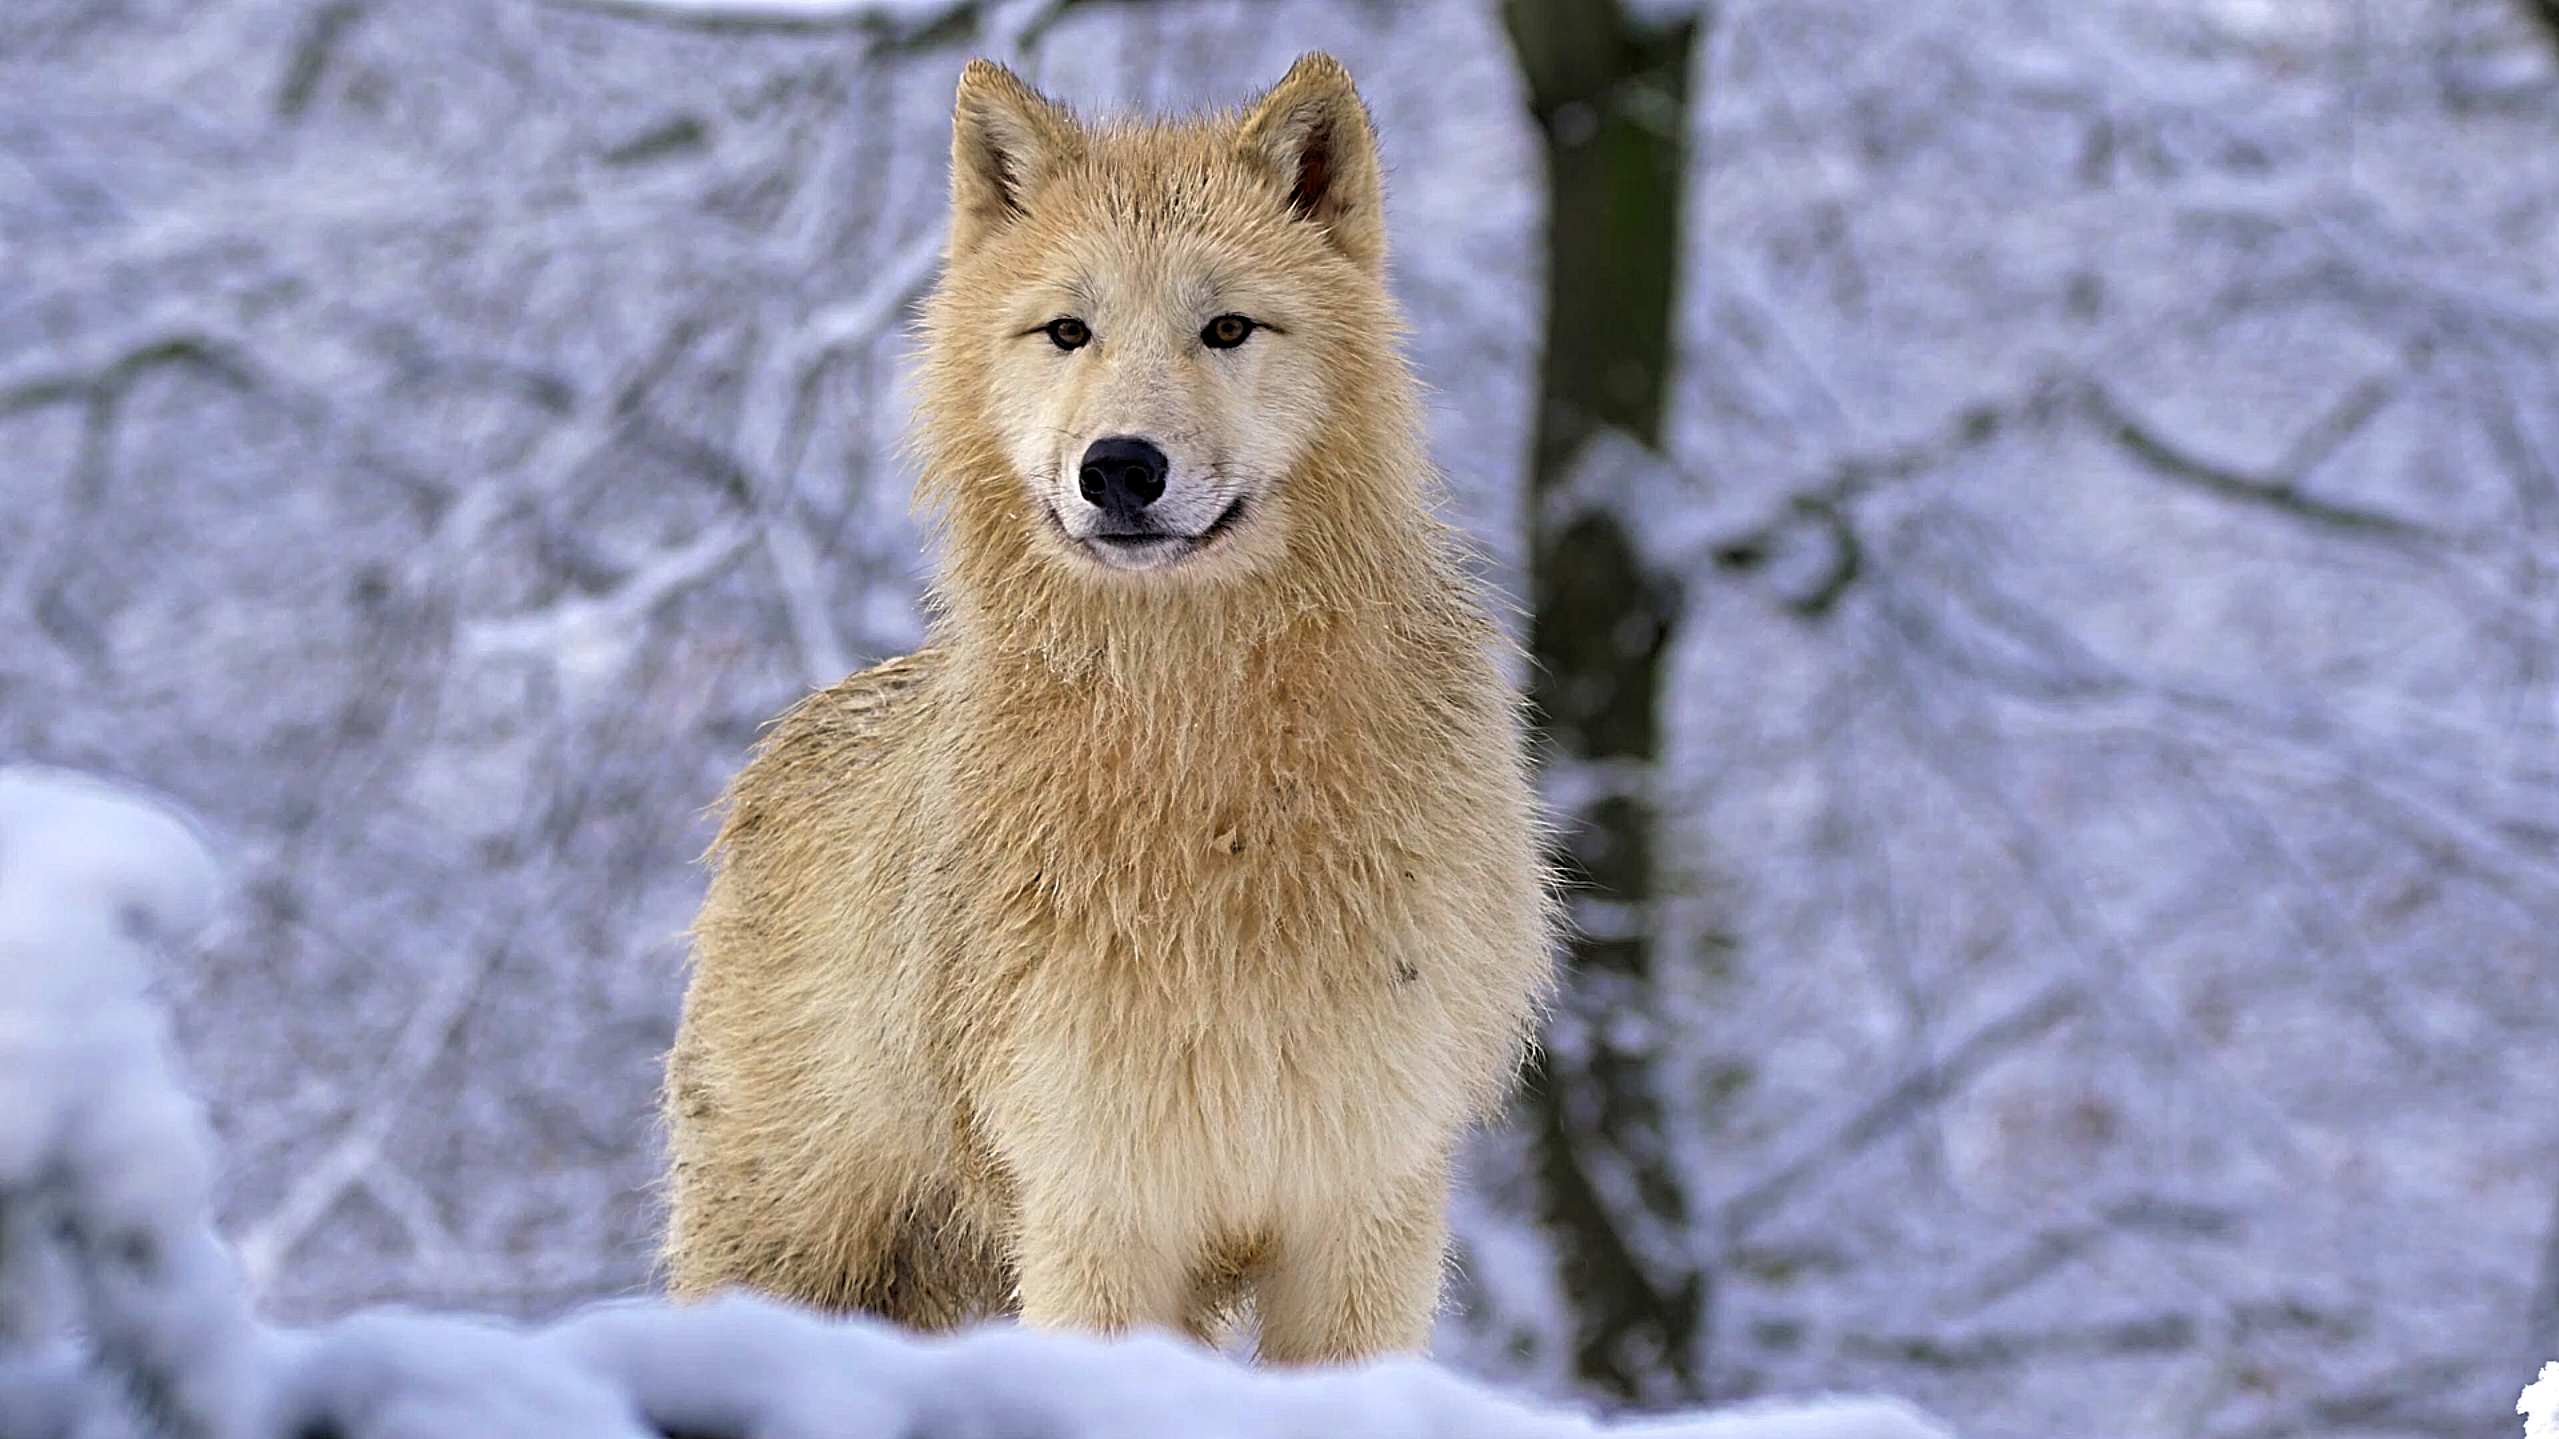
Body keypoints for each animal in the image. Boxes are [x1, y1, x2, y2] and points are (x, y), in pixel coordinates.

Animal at [660, 53, 1555, 1365]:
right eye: (1068, 331)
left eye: (1225, 327)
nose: (1120, 467)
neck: (1205, 776)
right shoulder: (1100, 1200)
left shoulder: (1363, 1204)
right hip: (798, 1251)